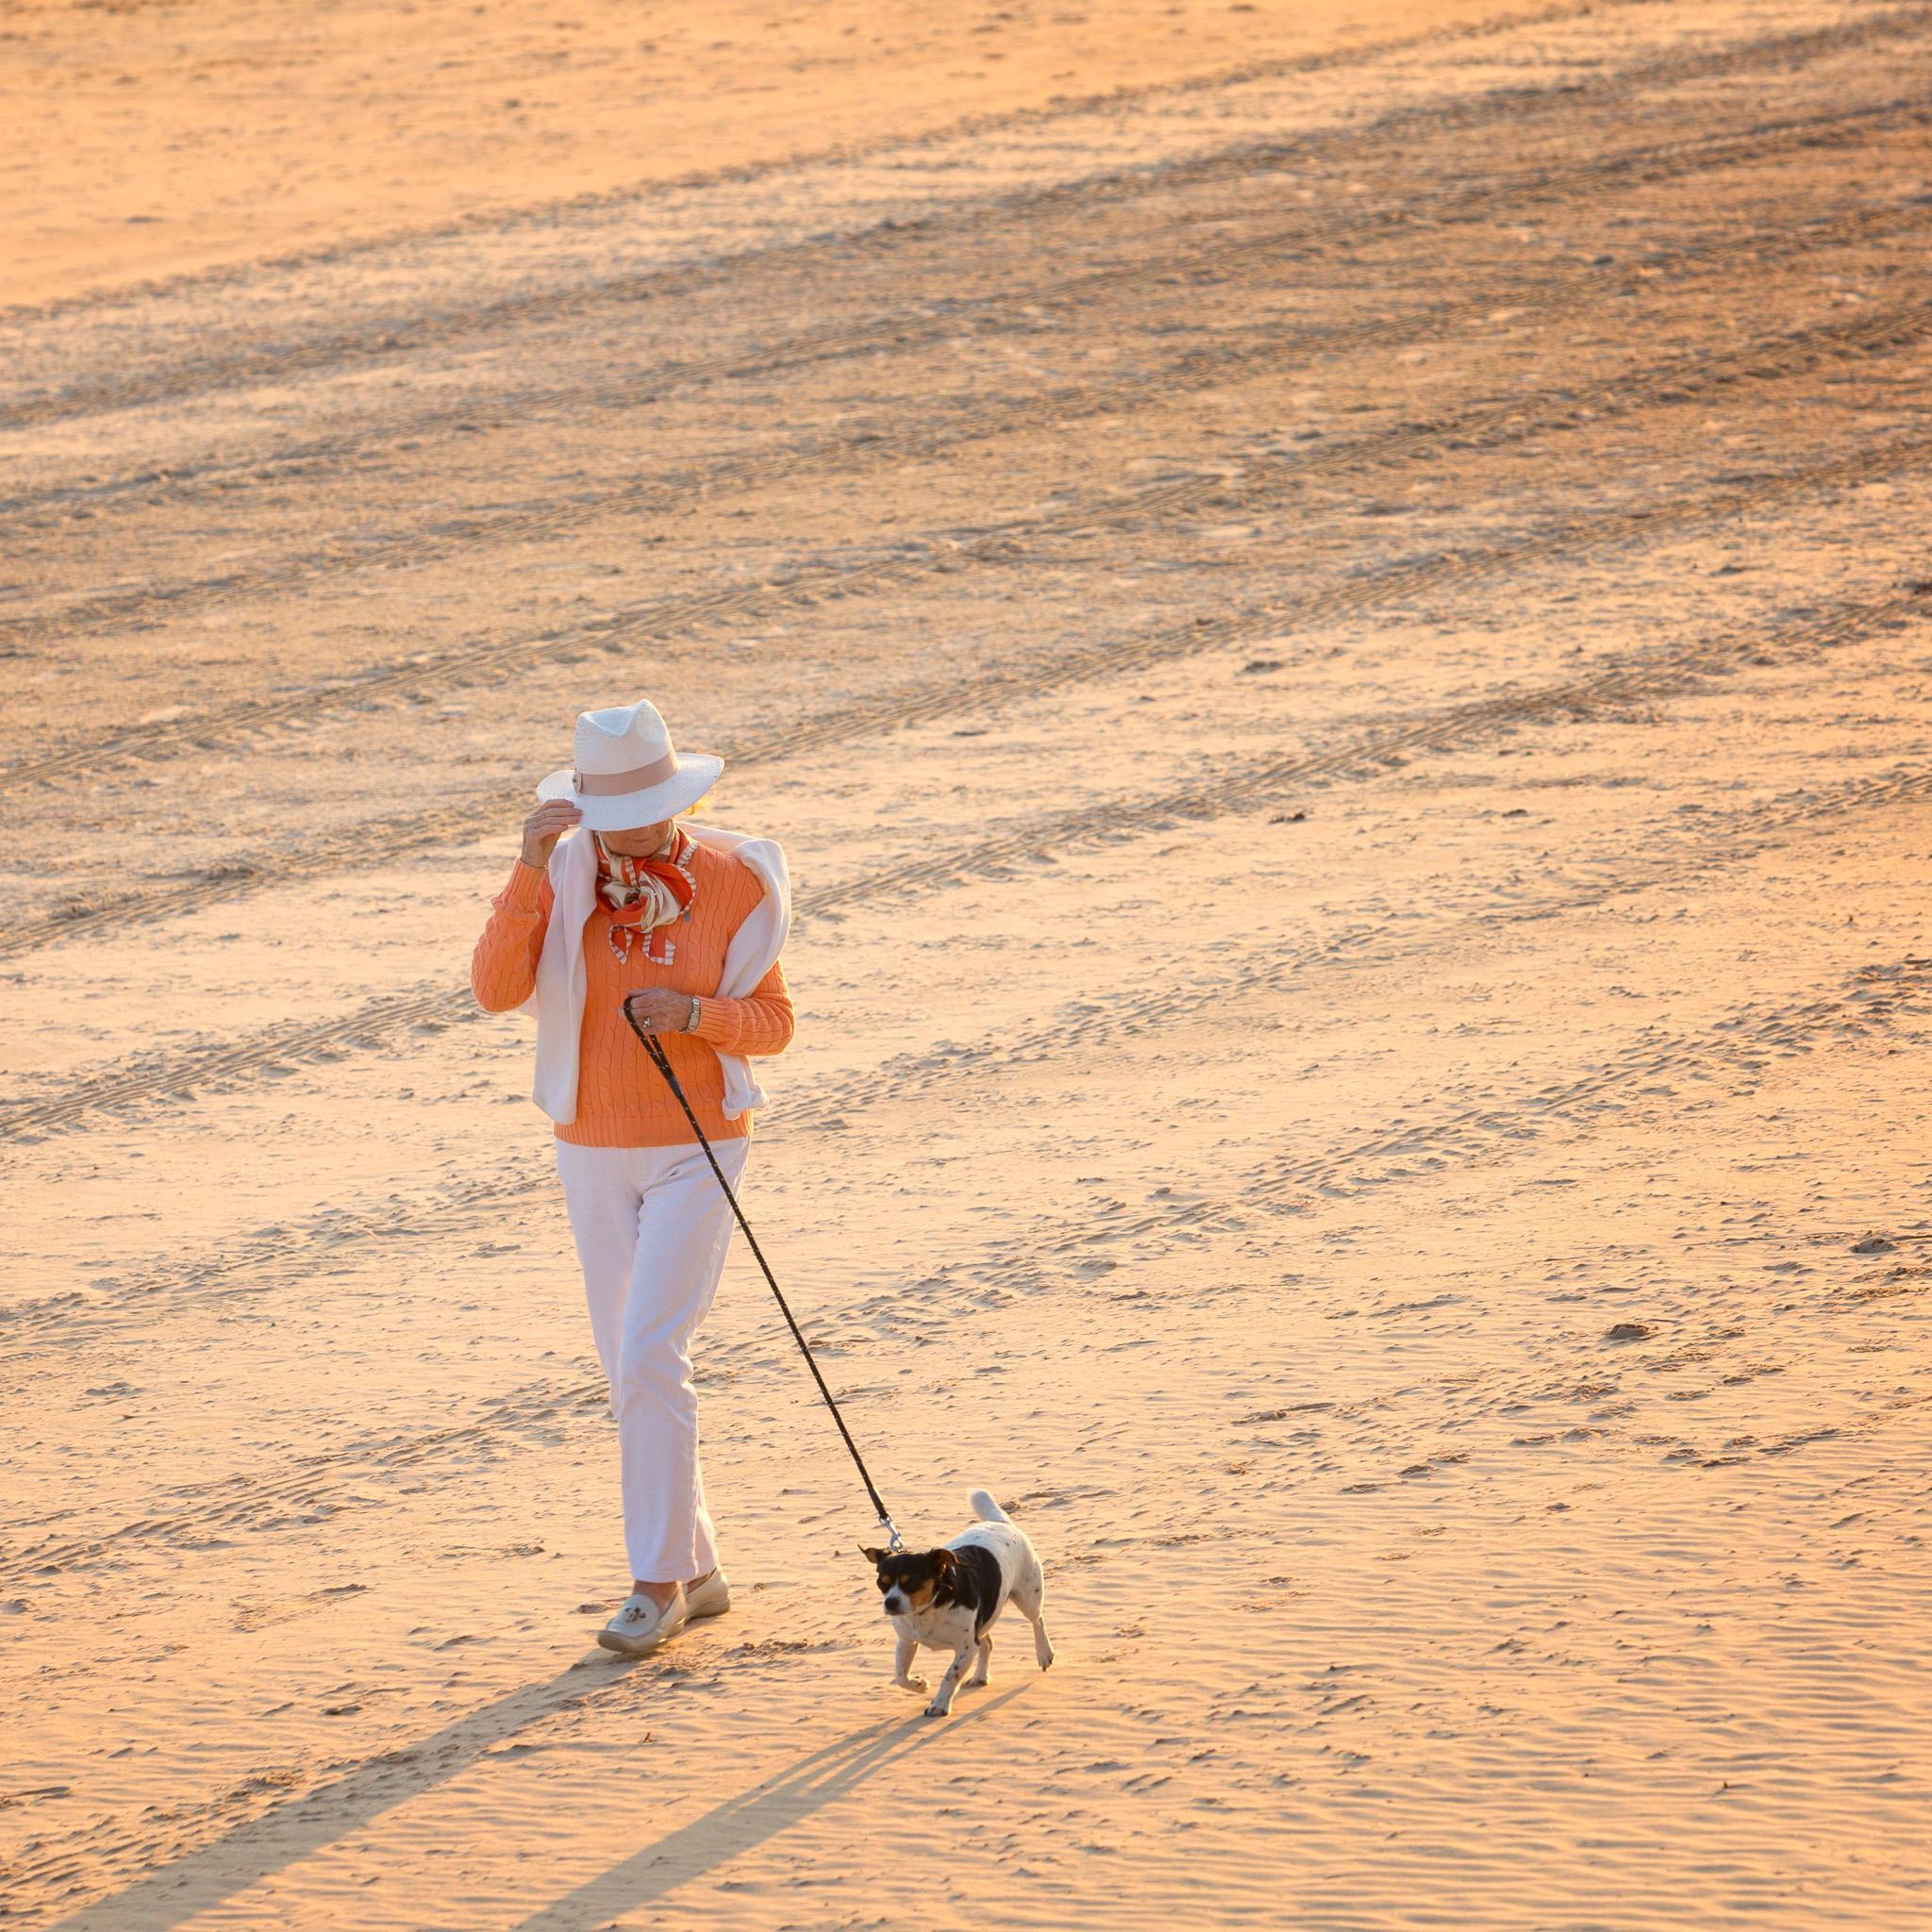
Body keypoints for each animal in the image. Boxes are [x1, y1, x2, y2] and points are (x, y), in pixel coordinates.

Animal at [865, 1483, 1058, 1715]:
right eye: (882, 1583)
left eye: (910, 1582)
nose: (890, 1603)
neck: (928, 1609)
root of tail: (1000, 1522)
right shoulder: (906, 1641)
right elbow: (900, 1675)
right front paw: (920, 1684)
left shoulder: (966, 1647)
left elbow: (950, 1676)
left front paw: (939, 1705)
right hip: (984, 1618)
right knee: (988, 1643)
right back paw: (980, 1676)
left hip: (1028, 1595)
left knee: (1037, 1621)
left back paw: (1044, 1653)